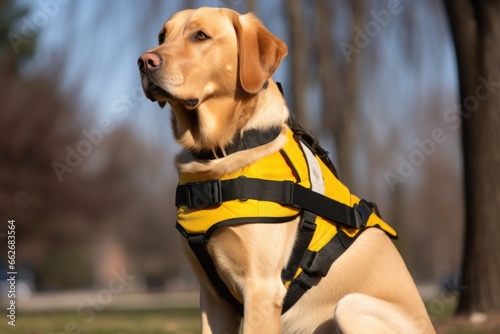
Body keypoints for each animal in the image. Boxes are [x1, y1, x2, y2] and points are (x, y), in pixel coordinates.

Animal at [137, 5, 434, 334]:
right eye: (162, 36)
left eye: (200, 36)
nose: (144, 61)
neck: (221, 151)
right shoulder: (213, 298)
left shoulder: (261, 289)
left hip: (351, 305)